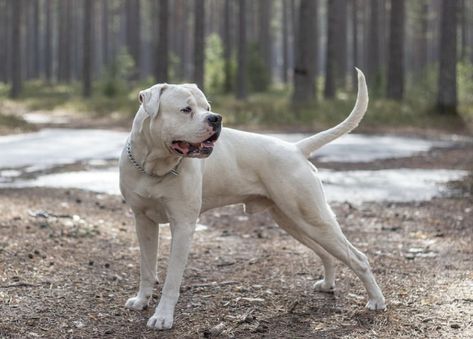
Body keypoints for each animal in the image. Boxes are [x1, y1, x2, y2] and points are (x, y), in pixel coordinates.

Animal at [118, 67, 384, 330]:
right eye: (186, 109)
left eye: (208, 106)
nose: (216, 118)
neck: (154, 167)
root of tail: (296, 148)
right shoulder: (143, 222)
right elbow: (147, 267)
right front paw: (141, 300)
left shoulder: (183, 226)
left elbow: (172, 278)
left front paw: (163, 317)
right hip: (292, 220)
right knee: (326, 253)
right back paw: (328, 285)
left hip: (313, 218)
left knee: (358, 258)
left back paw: (376, 301)